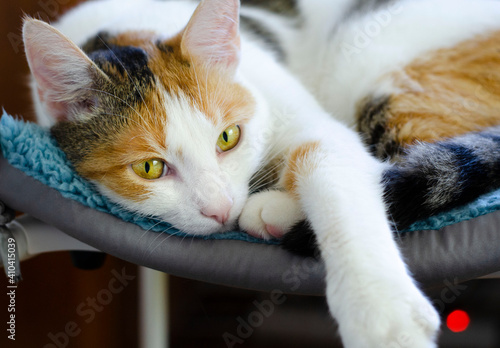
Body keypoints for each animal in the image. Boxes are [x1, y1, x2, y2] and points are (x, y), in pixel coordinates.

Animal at [22, 0, 500, 346]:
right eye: (149, 167)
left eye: (228, 137)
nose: (220, 209)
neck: (124, 29)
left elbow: (328, 159)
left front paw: (380, 312)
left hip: (371, 62)